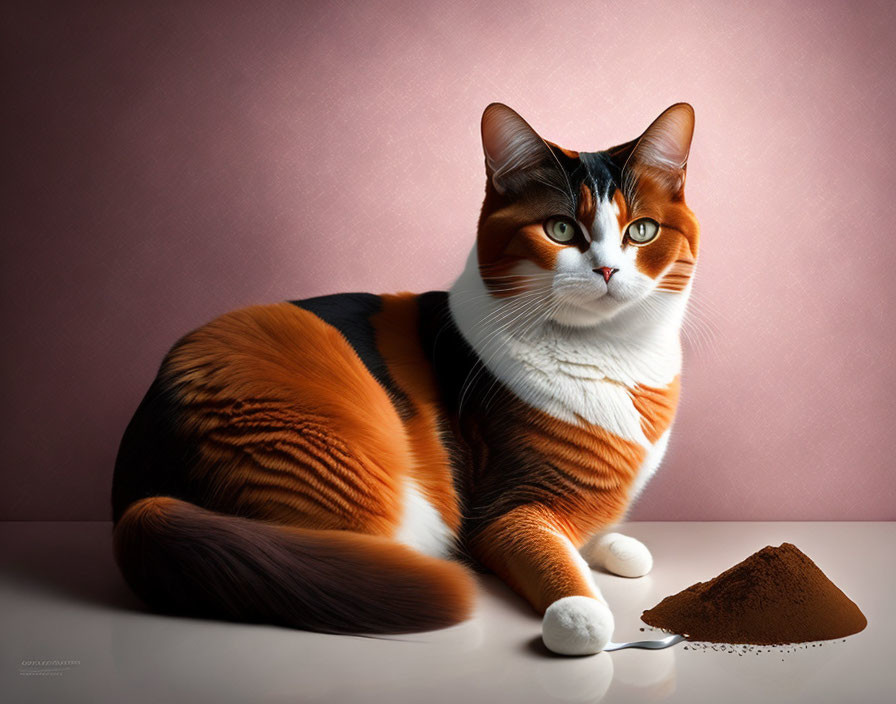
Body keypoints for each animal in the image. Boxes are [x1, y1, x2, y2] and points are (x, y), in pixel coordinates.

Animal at [112, 103, 700, 656]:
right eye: (559, 229)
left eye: (641, 230)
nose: (607, 270)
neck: (610, 354)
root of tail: (135, 498)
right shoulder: (503, 509)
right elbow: (548, 554)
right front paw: (579, 614)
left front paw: (612, 546)